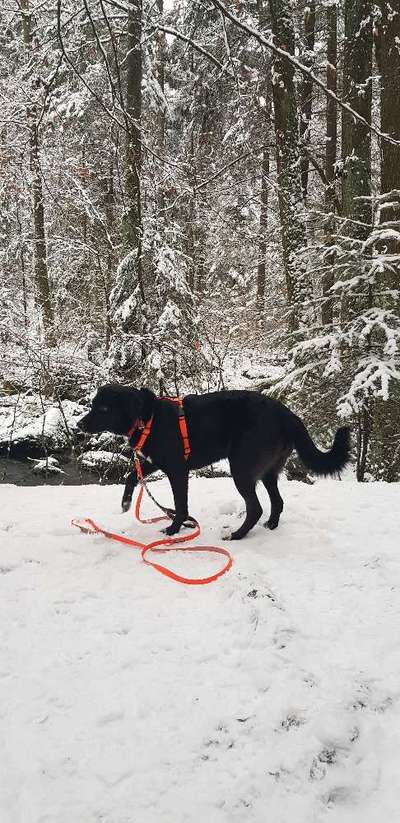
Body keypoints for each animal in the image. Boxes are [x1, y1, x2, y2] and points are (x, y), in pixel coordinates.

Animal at [76, 386, 348, 540]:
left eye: (103, 408)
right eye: (93, 405)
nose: (79, 424)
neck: (149, 417)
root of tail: (287, 413)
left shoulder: (177, 470)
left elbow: (180, 504)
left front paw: (174, 529)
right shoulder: (155, 462)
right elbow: (132, 476)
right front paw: (125, 503)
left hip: (242, 469)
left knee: (255, 507)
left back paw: (237, 535)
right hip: (268, 471)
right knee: (277, 502)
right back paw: (270, 525)